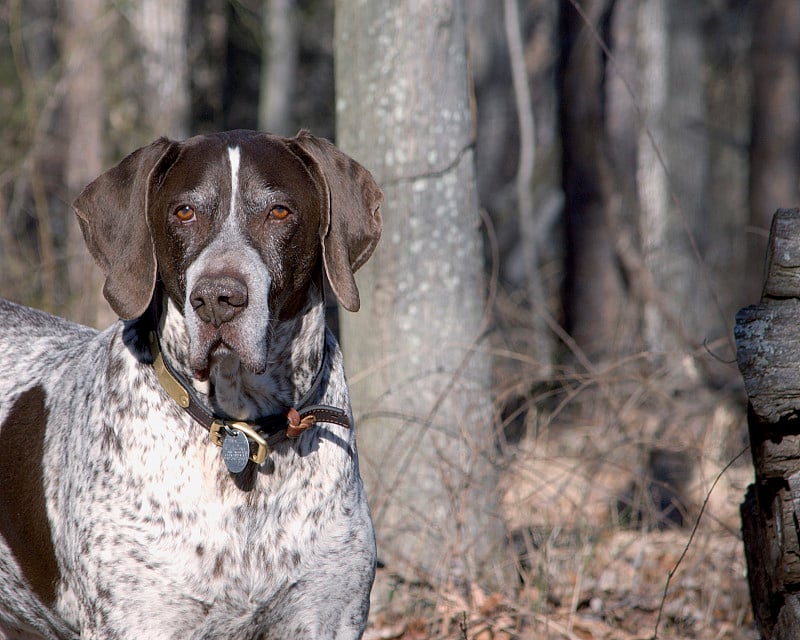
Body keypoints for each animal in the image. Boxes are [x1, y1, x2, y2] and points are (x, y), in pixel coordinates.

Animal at [0, 130, 384, 640]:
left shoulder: (327, 617)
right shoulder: (139, 621)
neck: (240, 432)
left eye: (279, 211)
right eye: (185, 211)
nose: (217, 298)